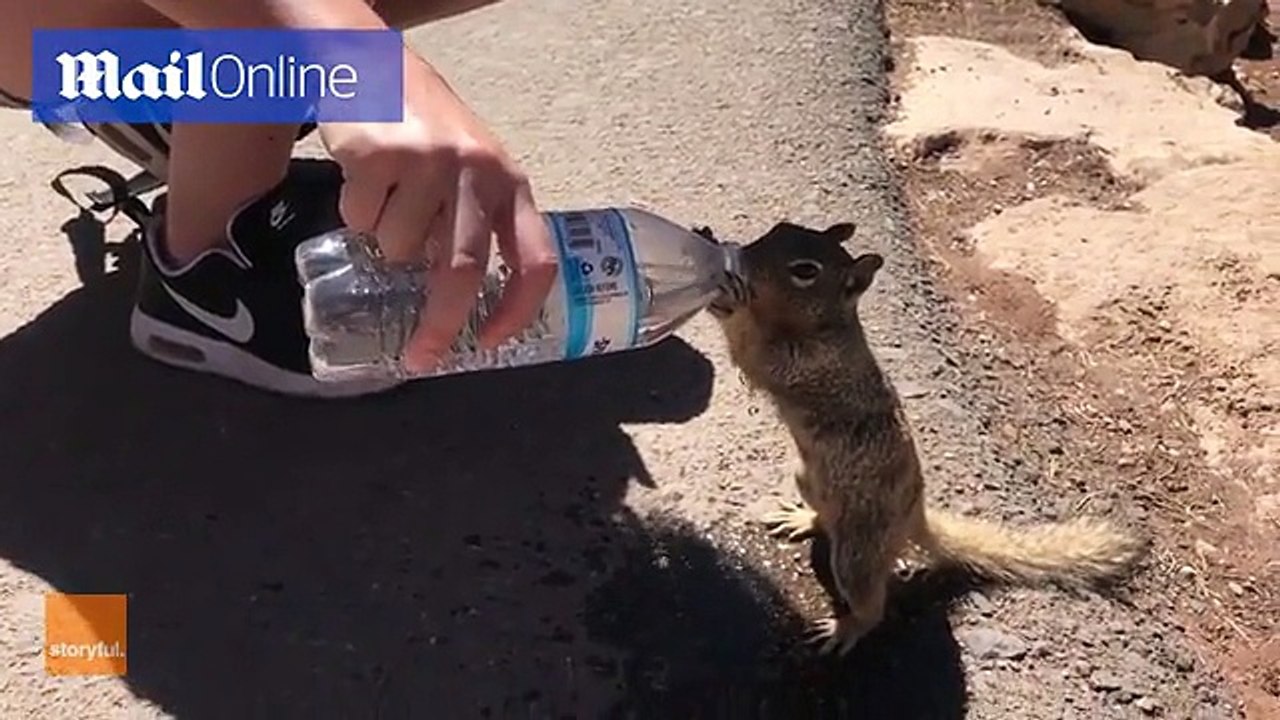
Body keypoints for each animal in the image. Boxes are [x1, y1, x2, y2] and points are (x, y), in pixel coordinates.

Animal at [702, 220, 1149, 657]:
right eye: (779, 227)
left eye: (805, 271)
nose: (741, 258)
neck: (825, 325)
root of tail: (913, 517)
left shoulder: (801, 363)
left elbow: (751, 352)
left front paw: (725, 298)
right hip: (808, 480)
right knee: (826, 519)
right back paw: (803, 519)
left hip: (858, 553)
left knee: (871, 603)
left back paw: (846, 626)